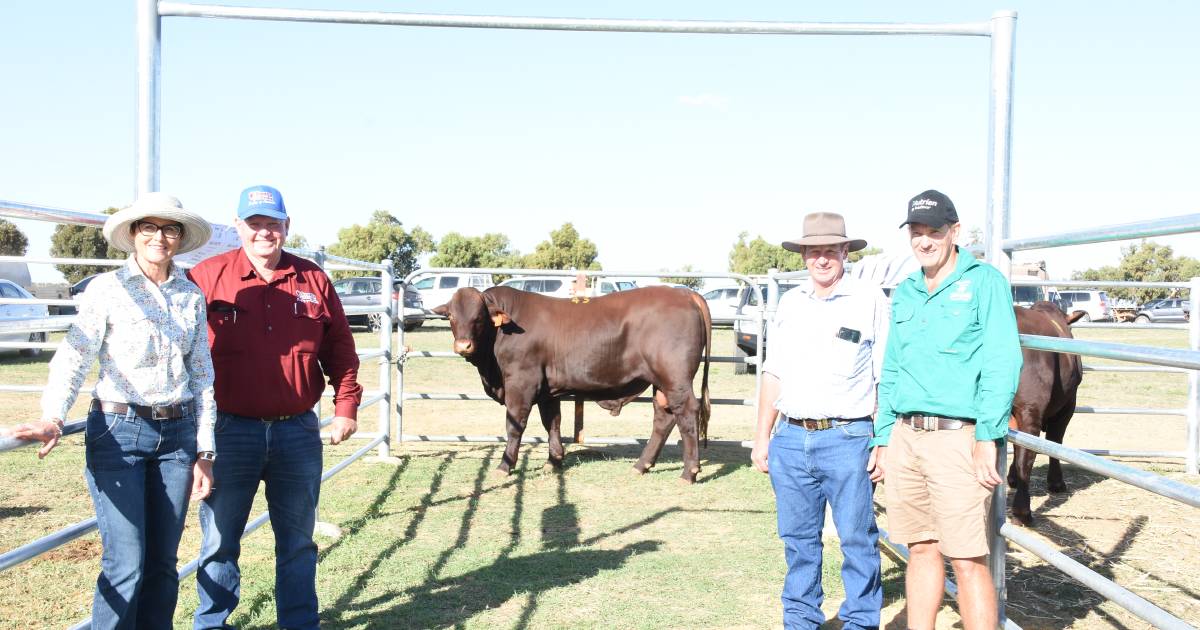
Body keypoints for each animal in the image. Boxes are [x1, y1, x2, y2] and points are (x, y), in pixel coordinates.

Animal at [434, 284, 705, 482]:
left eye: (479, 317)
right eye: (451, 316)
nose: (463, 346)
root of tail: (685, 293)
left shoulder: (521, 383)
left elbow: (515, 426)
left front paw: (504, 466)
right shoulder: (547, 391)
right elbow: (552, 423)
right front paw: (553, 460)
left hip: (675, 379)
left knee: (687, 413)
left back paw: (689, 472)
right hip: (661, 382)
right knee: (664, 417)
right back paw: (641, 465)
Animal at [1003, 302, 1089, 523]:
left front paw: (1011, 478)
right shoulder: (1068, 404)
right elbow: (1055, 440)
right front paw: (1056, 483)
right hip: (1031, 409)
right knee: (1027, 455)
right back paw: (1022, 512)